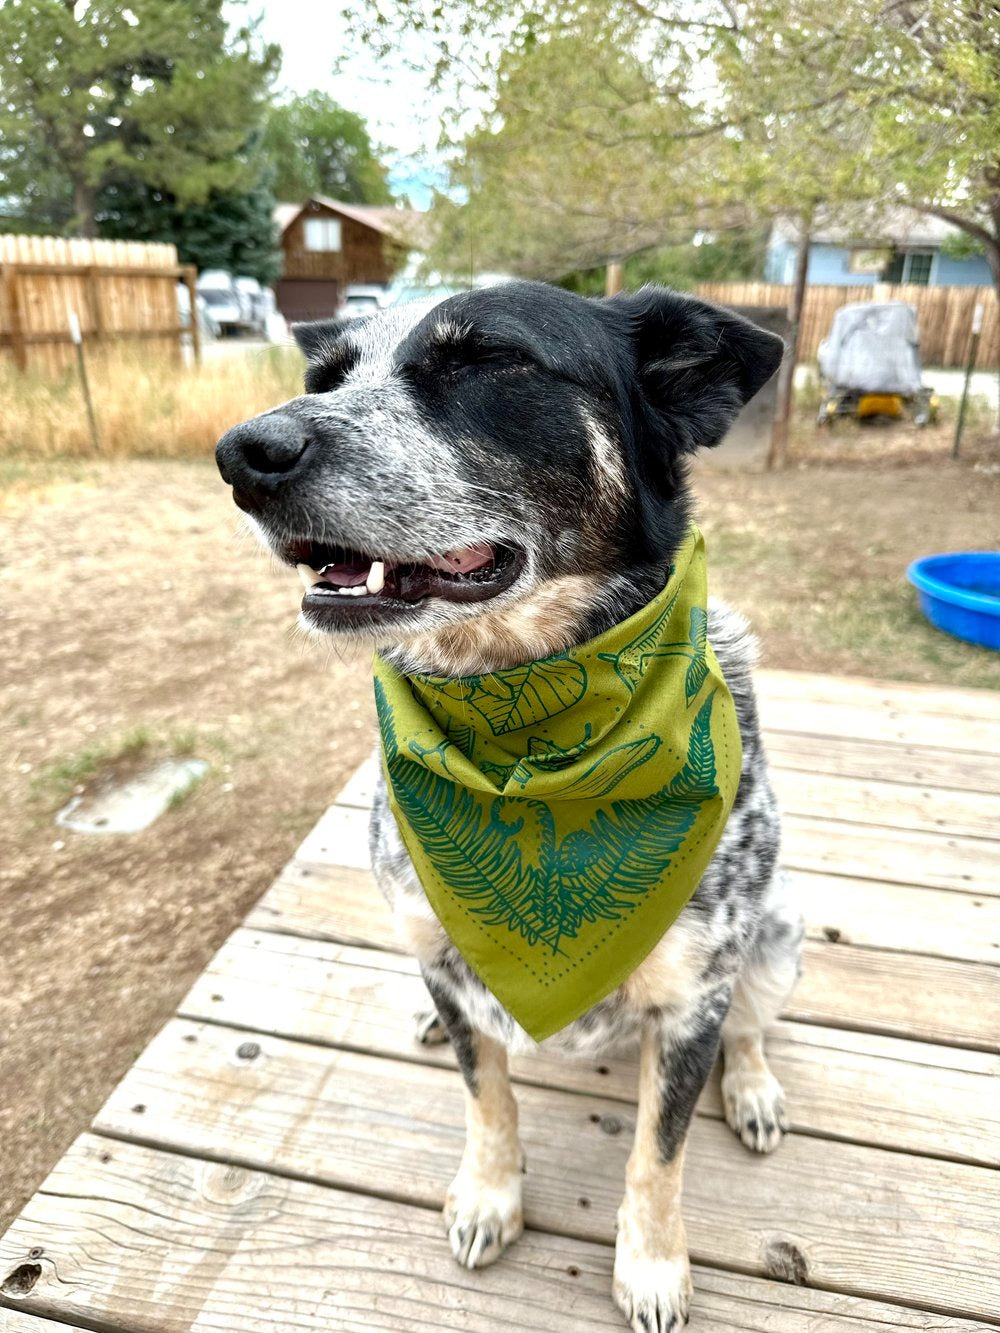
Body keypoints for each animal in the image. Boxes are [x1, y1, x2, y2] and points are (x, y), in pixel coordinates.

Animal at [217, 275, 805, 1327]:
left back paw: (752, 1089)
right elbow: (487, 1096)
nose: (245, 452)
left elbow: (659, 1153)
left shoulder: (694, 994)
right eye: (329, 378)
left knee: (750, 1027)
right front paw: (490, 1194)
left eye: (489, 360)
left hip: (779, 935)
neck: (529, 728)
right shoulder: (444, 951)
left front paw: (652, 1263)